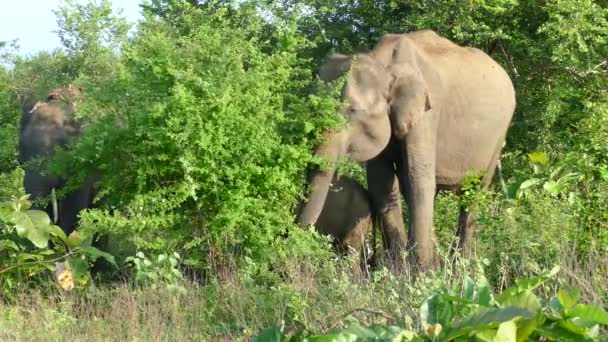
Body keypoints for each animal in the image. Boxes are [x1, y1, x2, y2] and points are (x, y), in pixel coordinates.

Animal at [296, 30, 516, 270]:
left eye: (352, 111)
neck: (382, 62)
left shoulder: (427, 114)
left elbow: (418, 181)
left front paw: (421, 274)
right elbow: (382, 185)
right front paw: (398, 271)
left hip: (499, 134)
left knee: (474, 192)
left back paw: (458, 267)